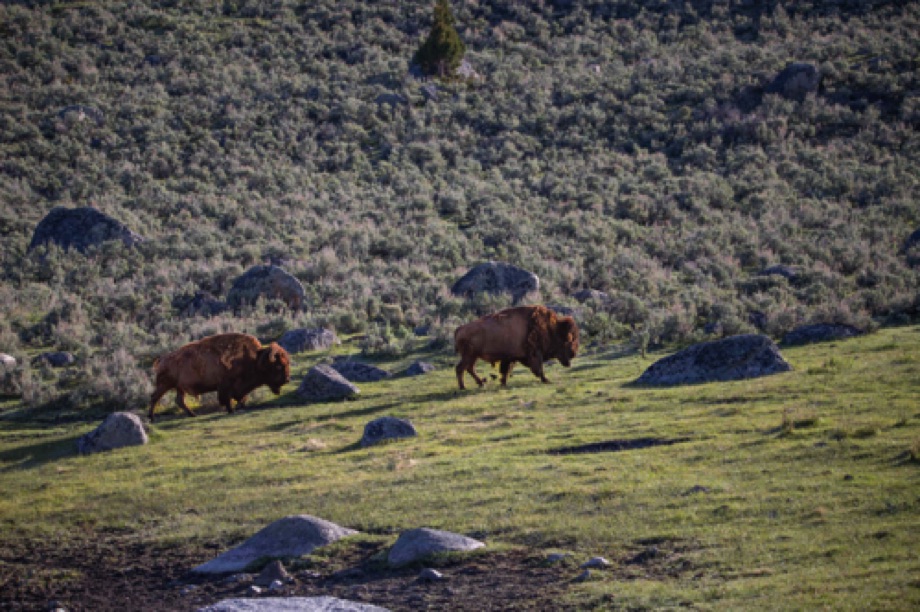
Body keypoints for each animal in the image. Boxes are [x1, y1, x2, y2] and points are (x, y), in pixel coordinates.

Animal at [150, 332, 292, 418]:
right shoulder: (225, 386)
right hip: (165, 384)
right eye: (278, 366)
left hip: (179, 388)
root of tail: (162, 359)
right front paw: (231, 410)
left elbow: (240, 397)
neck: (255, 359)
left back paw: (192, 414)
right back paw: (151, 418)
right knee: (155, 397)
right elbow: (227, 399)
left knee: (179, 400)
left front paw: (239, 406)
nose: (287, 380)